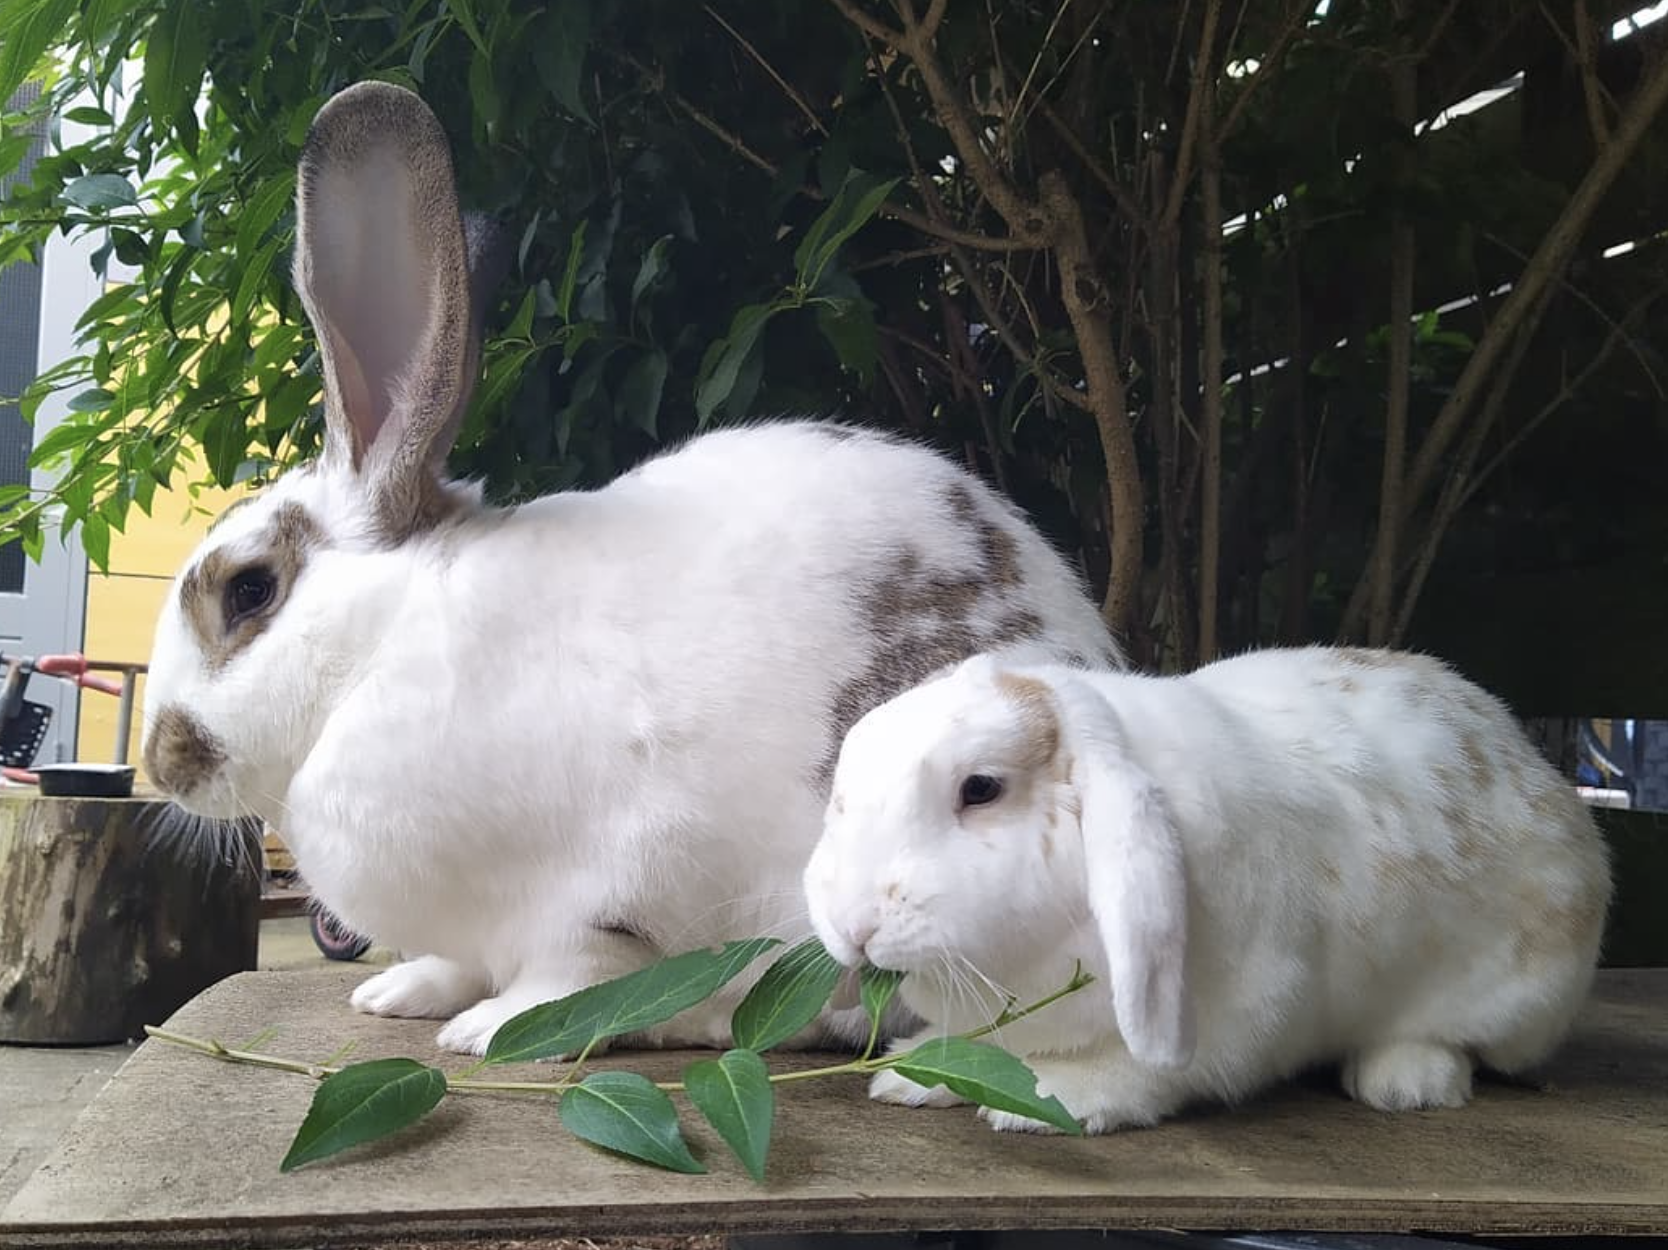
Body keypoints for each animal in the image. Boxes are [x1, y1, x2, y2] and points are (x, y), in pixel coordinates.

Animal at [137, 81, 1123, 1056]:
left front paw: (486, 1030)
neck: (383, 647)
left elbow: (573, 974)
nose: (162, 761)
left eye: (250, 590)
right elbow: (455, 963)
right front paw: (401, 994)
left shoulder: (598, 892)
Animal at [806, 646, 1612, 1133]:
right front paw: (912, 1074)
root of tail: (1535, 765)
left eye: (981, 789)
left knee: (1460, 1044)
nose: (853, 924)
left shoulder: (1239, 1017)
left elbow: (1144, 1073)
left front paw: (1048, 1101)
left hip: (1517, 995)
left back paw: (1404, 1081)